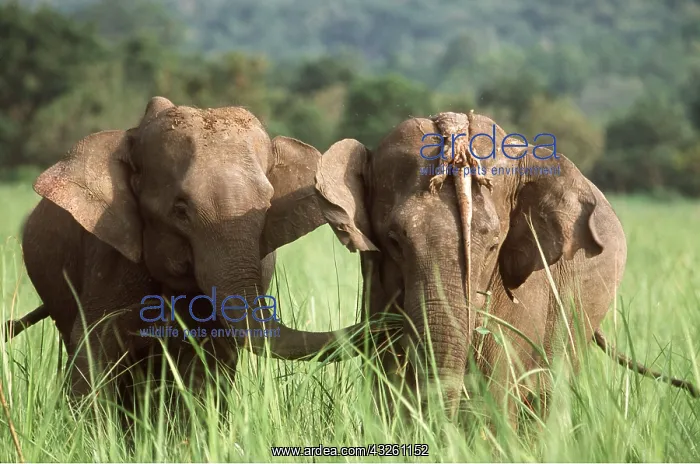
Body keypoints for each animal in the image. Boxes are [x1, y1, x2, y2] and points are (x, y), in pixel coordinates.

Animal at [5, 96, 398, 399]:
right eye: (180, 210)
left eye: (267, 206)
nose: (385, 320)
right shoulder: (109, 253)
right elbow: (93, 348)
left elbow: (211, 361)